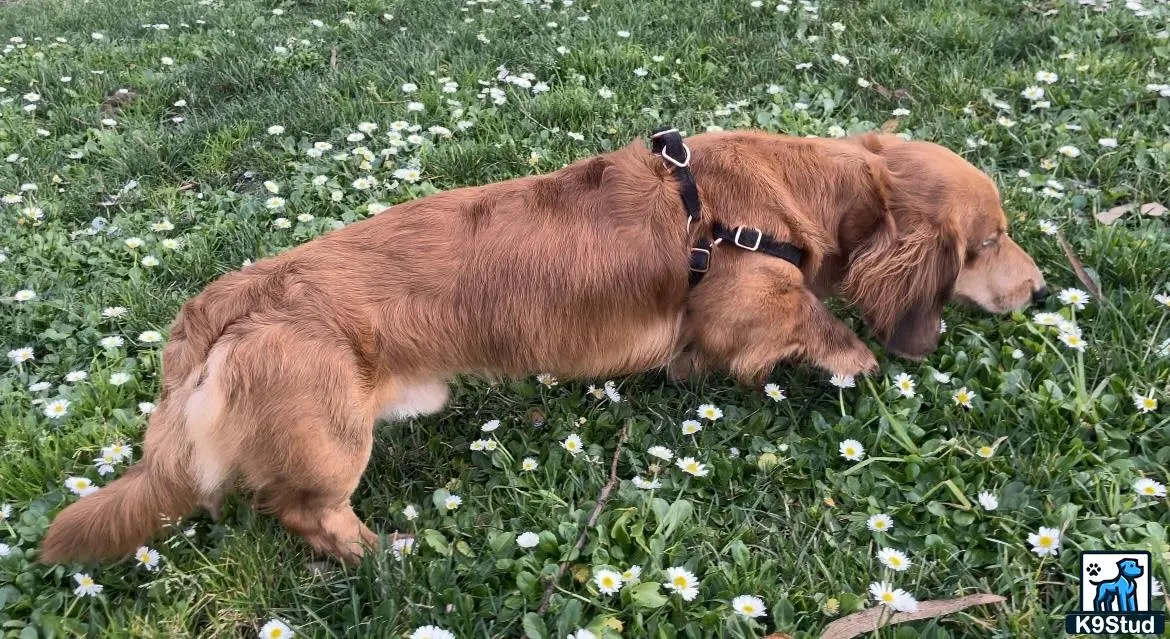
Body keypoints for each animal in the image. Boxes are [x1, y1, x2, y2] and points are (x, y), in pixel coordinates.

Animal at [41, 130, 1048, 561]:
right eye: (990, 241)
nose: (1044, 288)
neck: (791, 189)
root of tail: (224, 303)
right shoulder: (752, 304)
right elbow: (812, 320)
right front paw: (858, 357)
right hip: (334, 446)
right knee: (307, 513)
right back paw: (383, 554)